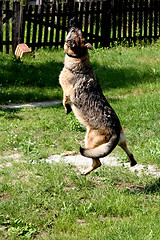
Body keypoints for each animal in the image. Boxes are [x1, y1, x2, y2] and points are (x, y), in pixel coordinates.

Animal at [59, 26, 137, 175]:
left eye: (73, 33)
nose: (74, 25)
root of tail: (115, 130)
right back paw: (132, 162)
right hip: (121, 140)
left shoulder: (66, 91)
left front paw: (67, 109)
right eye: (79, 32)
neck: (79, 57)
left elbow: (64, 100)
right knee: (129, 152)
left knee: (97, 162)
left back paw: (85, 172)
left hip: (89, 141)